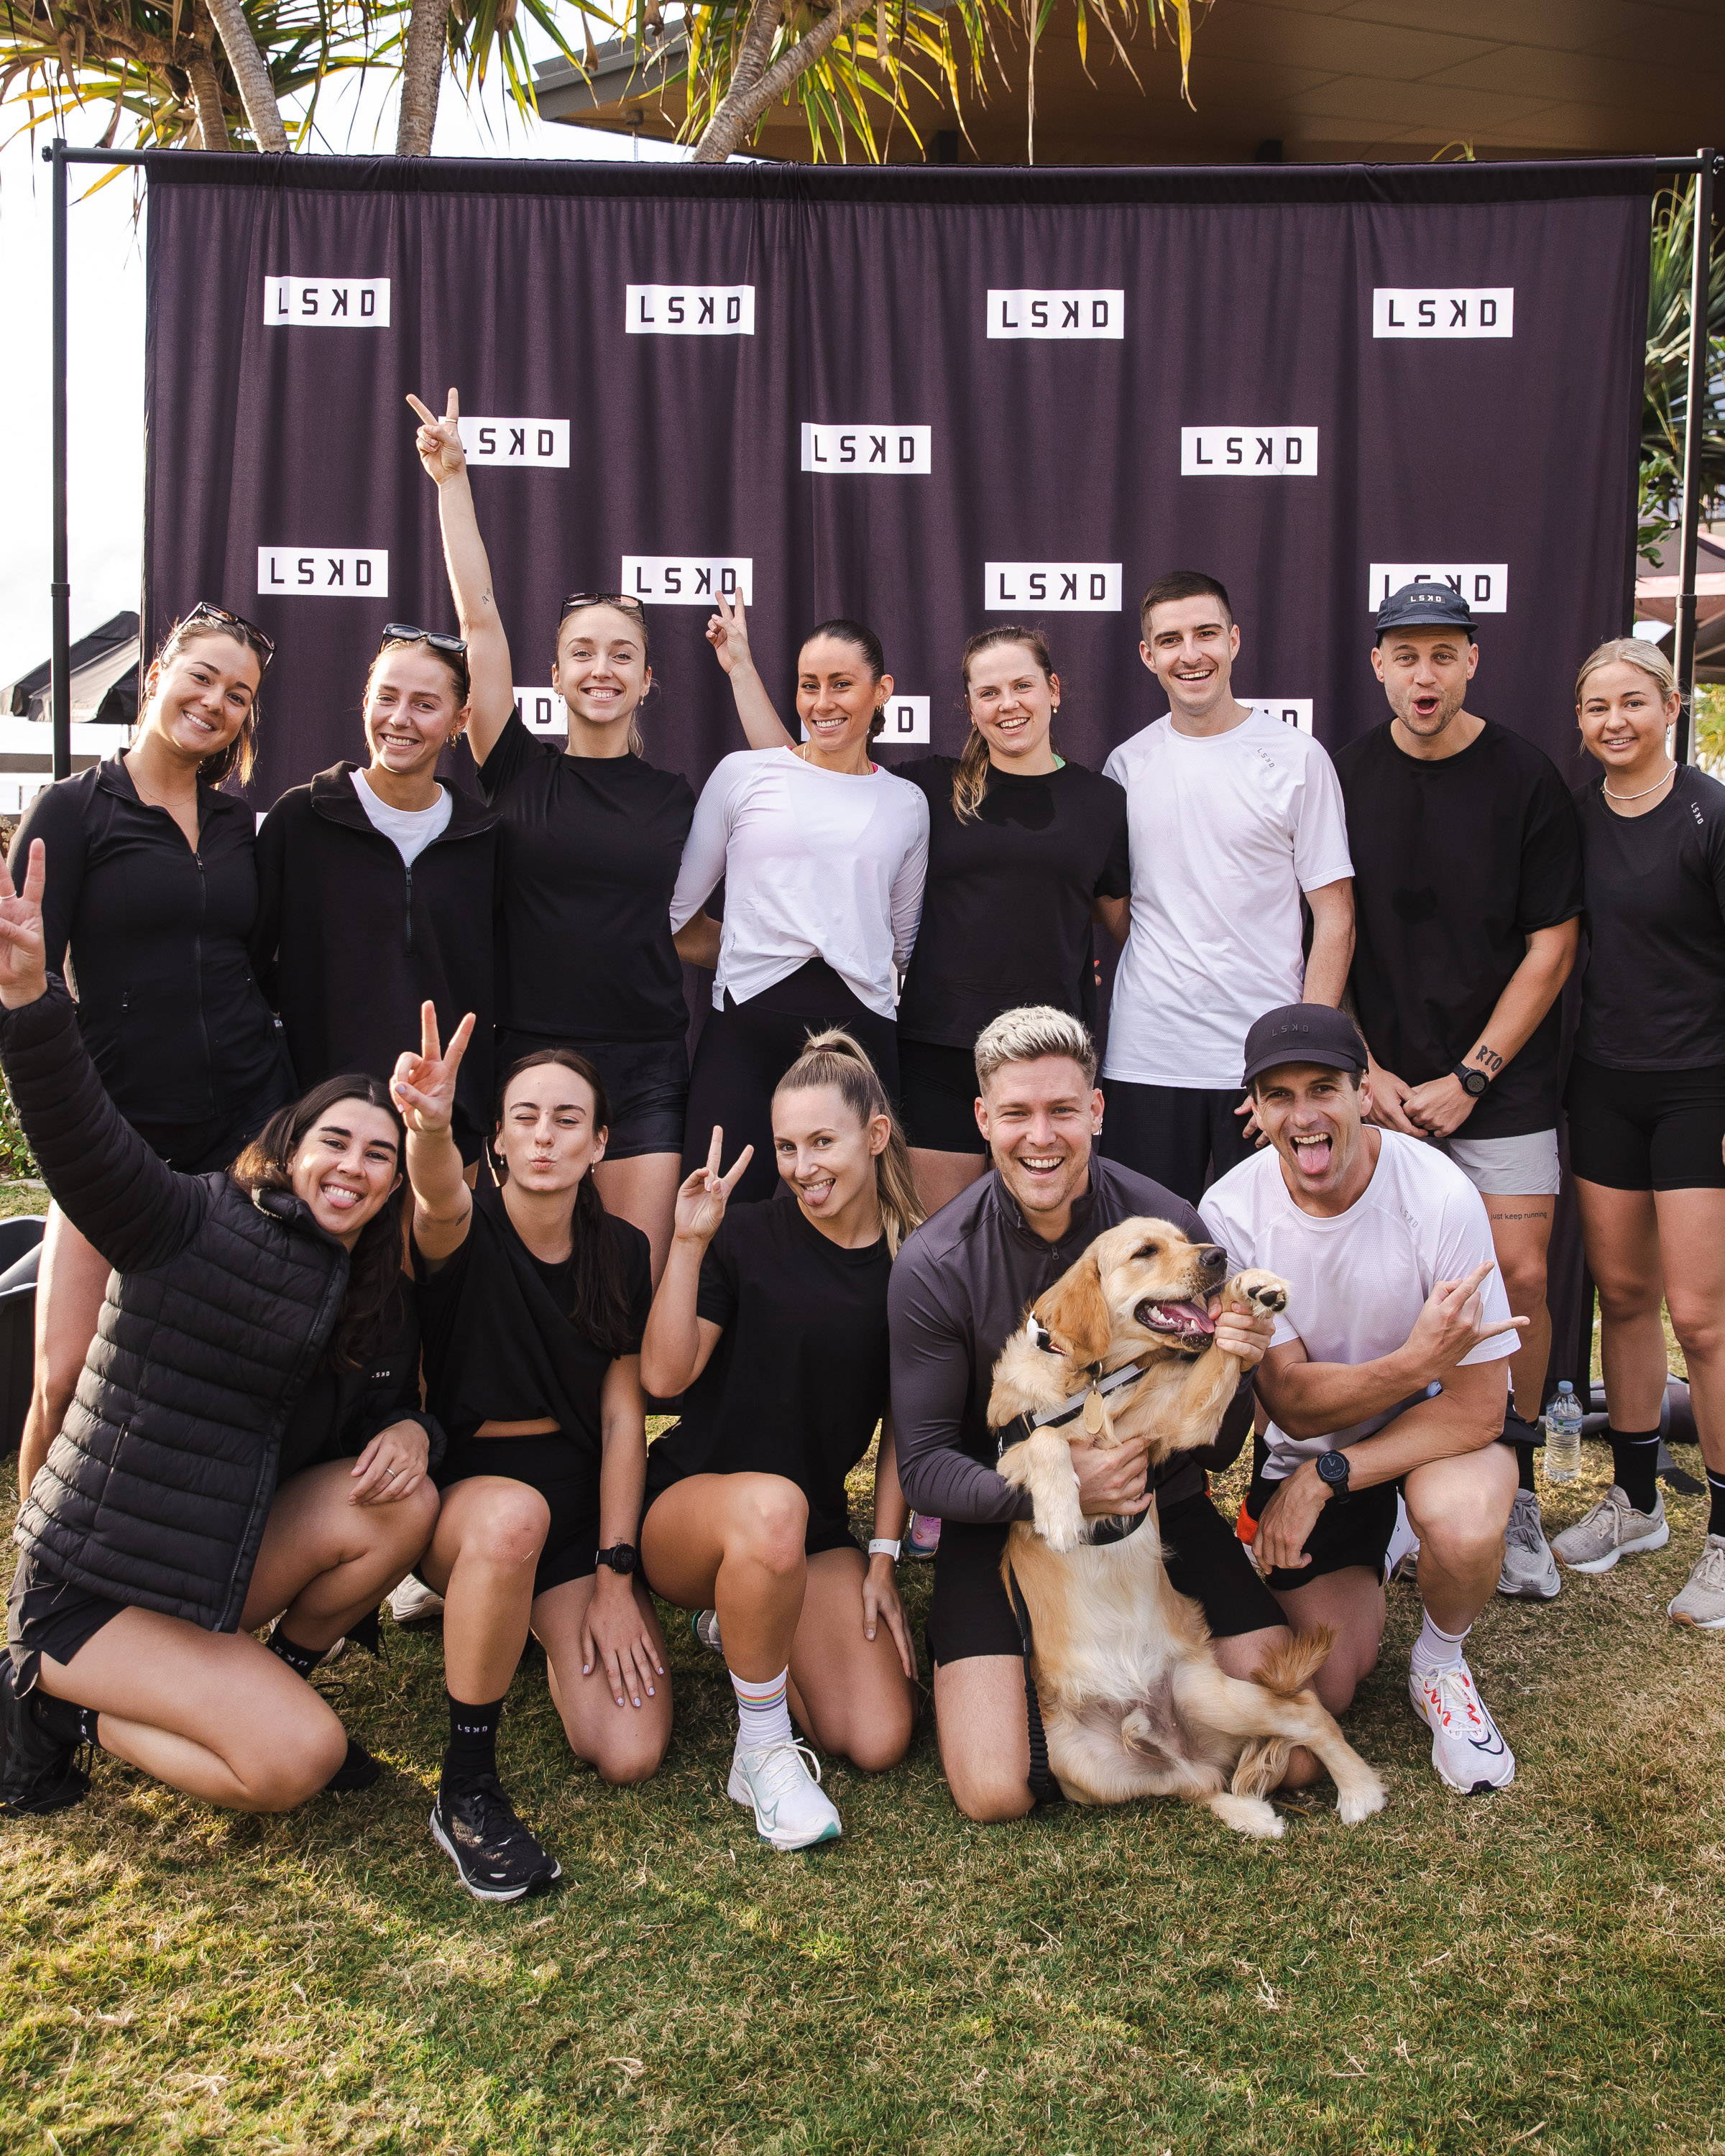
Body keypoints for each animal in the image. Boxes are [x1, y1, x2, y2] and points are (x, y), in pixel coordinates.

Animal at [992, 1225, 1380, 1846]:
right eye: (1145, 1252)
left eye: (1182, 1238)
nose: (1218, 1255)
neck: (1095, 1382)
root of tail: (1153, 1724)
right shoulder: (1005, 1452)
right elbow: (1046, 1442)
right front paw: (1059, 1511)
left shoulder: (1177, 1424)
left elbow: (1222, 1353)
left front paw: (1253, 1293)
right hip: (1075, 1763)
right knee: (1192, 1785)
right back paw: (1250, 1813)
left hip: (1215, 1694)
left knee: (1303, 1715)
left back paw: (1359, 1792)